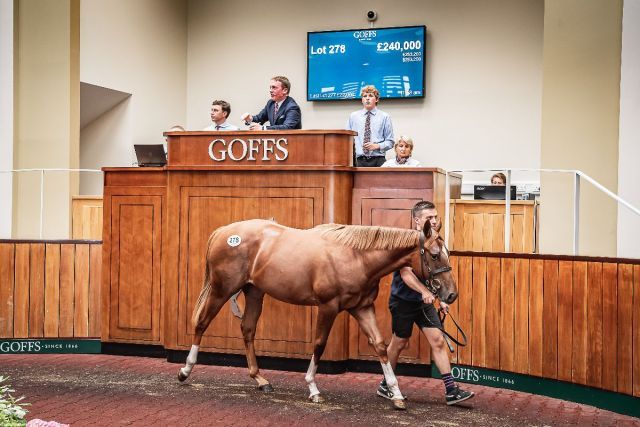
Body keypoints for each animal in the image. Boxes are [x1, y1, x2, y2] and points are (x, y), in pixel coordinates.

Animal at [178, 219, 458, 410]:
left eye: (447, 253)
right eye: (435, 255)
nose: (451, 295)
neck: (355, 256)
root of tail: (223, 231)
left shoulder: (362, 308)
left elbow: (380, 346)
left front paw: (396, 394)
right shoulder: (328, 307)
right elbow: (319, 344)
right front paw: (313, 388)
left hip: (254, 292)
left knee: (247, 329)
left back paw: (260, 380)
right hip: (221, 289)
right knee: (202, 322)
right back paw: (185, 370)